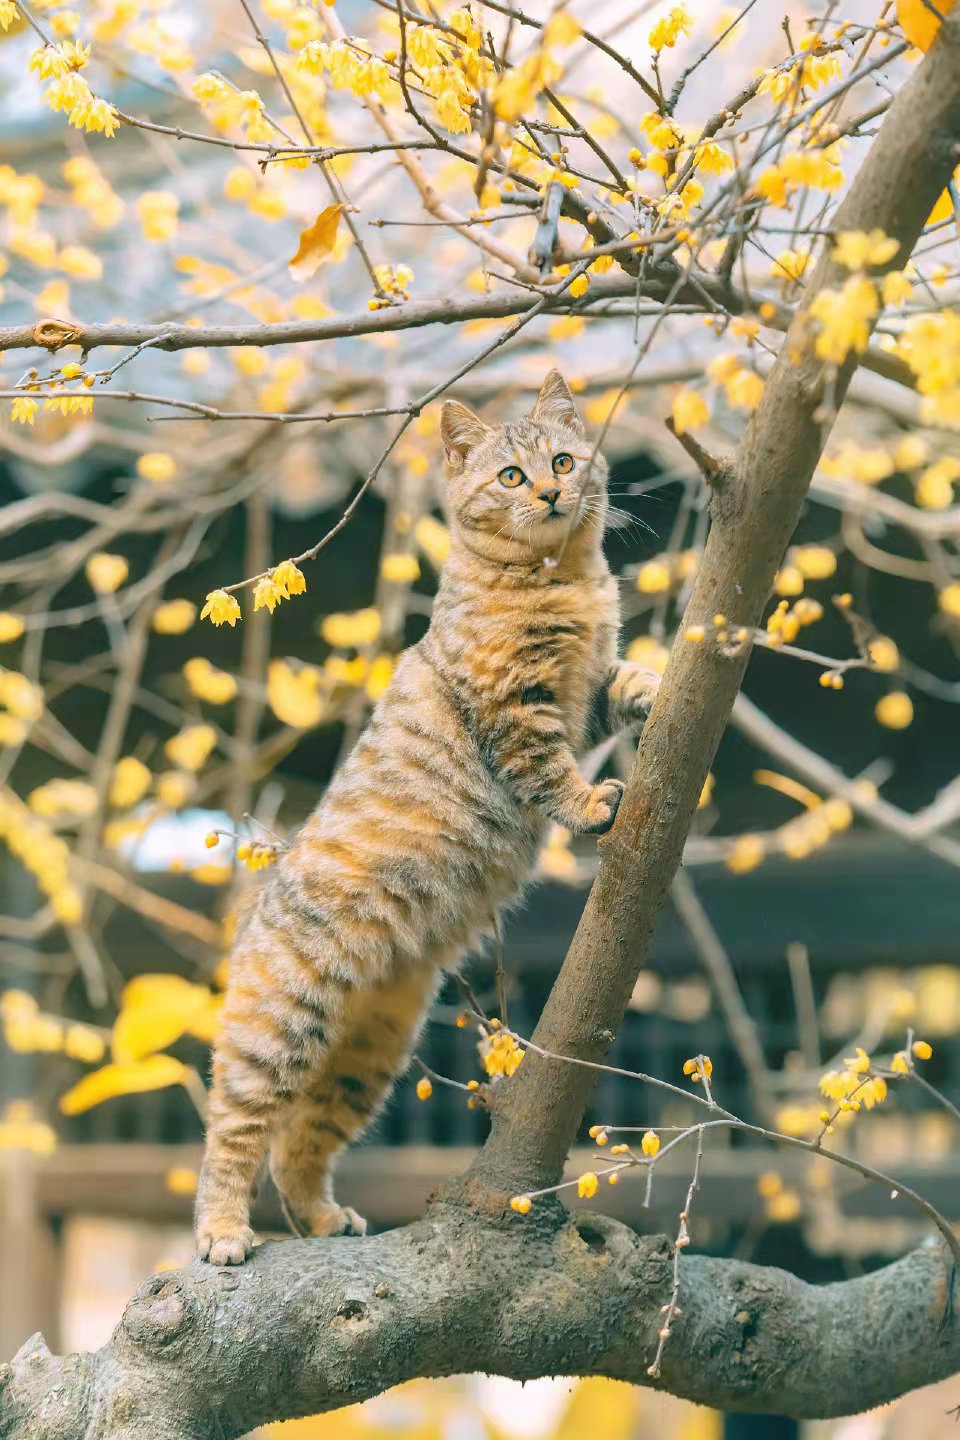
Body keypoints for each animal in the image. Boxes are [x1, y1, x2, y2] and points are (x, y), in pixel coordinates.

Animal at [195, 371, 662, 1261]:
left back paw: (321, 1218)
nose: (551, 492)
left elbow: (622, 680)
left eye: (561, 459)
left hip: (365, 1058)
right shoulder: (518, 711)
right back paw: (223, 1232)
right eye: (510, 476)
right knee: (233, 1136)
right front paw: (590, 803)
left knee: (299, 1144)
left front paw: (656, 687)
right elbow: (551, 772)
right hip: (277, 1033)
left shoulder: (583, 688)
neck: (565, 576)